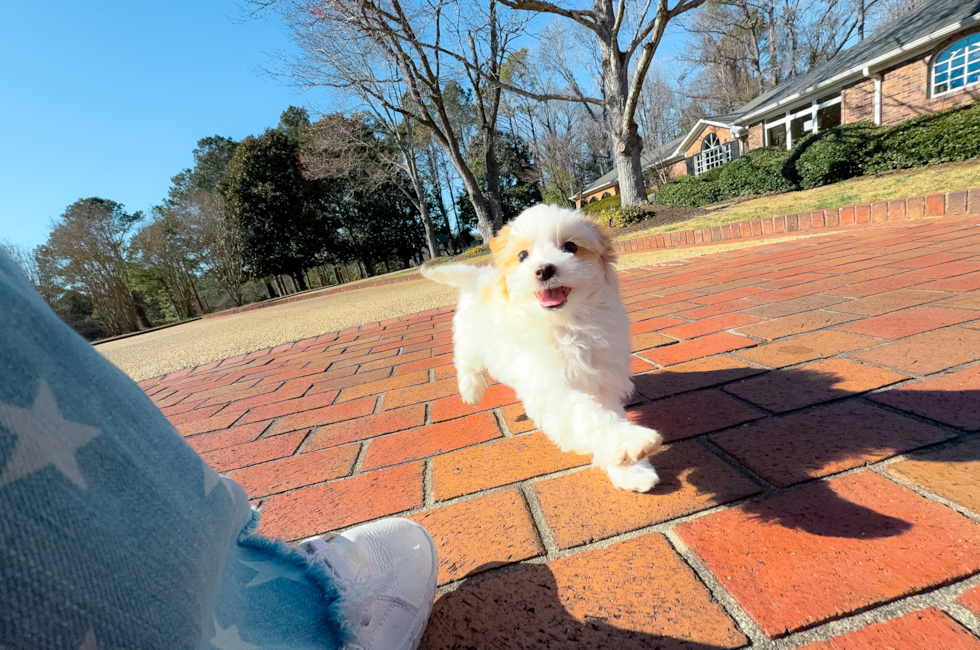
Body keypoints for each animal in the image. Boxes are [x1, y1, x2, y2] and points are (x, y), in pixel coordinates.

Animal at [424, 205, 664, 488]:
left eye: (570, 246)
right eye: (522, 255)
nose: (544, 269)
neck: (566, 323)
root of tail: (479, 276)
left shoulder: (601, 377)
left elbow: (607, 410)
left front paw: (631, 470)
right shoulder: (552, 388)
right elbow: (588, 415)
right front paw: (630, 442)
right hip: (469, 337)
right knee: (466, 363)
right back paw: (471, 391)